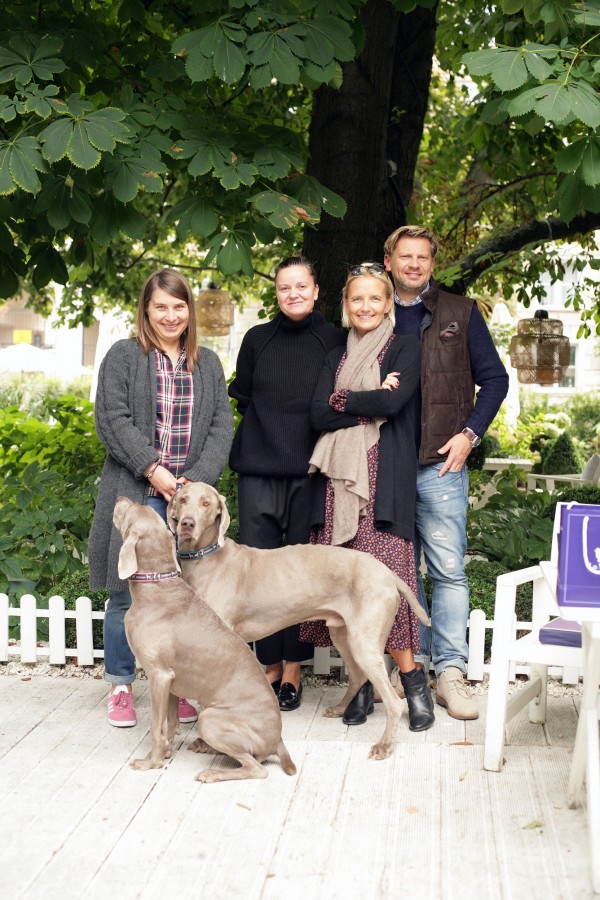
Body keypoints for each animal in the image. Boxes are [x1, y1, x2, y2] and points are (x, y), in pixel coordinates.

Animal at [113, 497, 296, 783]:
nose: (121, 498)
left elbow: (155, 726)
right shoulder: (171, 682)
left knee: (257, 768)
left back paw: (212, 772)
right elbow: (169, 724)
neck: (156, 586)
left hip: (210, 718)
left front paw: (151, 762)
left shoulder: (159, 675)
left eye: (131, 510)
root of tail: (278, 739)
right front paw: (164, 753)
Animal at [167, 482, 431, 760]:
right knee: (358, 676)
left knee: (394, 702)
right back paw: (340, 709)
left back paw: (385, 745)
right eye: (183, 499)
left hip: (363, 641)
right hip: (343, 633)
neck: (206, 558)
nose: (187, 523)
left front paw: (206, 742)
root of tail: (386, 571)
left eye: (206, 503)